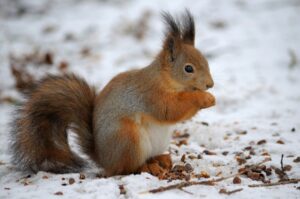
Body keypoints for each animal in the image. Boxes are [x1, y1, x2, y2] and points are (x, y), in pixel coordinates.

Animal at [9, 10, 216, 176]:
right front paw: (204, 98)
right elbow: (169, 110)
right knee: (126, 168)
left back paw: (160, 160)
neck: (166, 78)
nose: (210, 84)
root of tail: (104, 159)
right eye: (188, 69)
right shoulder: (150, 94)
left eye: (206, 61)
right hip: (128, 138)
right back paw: (147, 167)